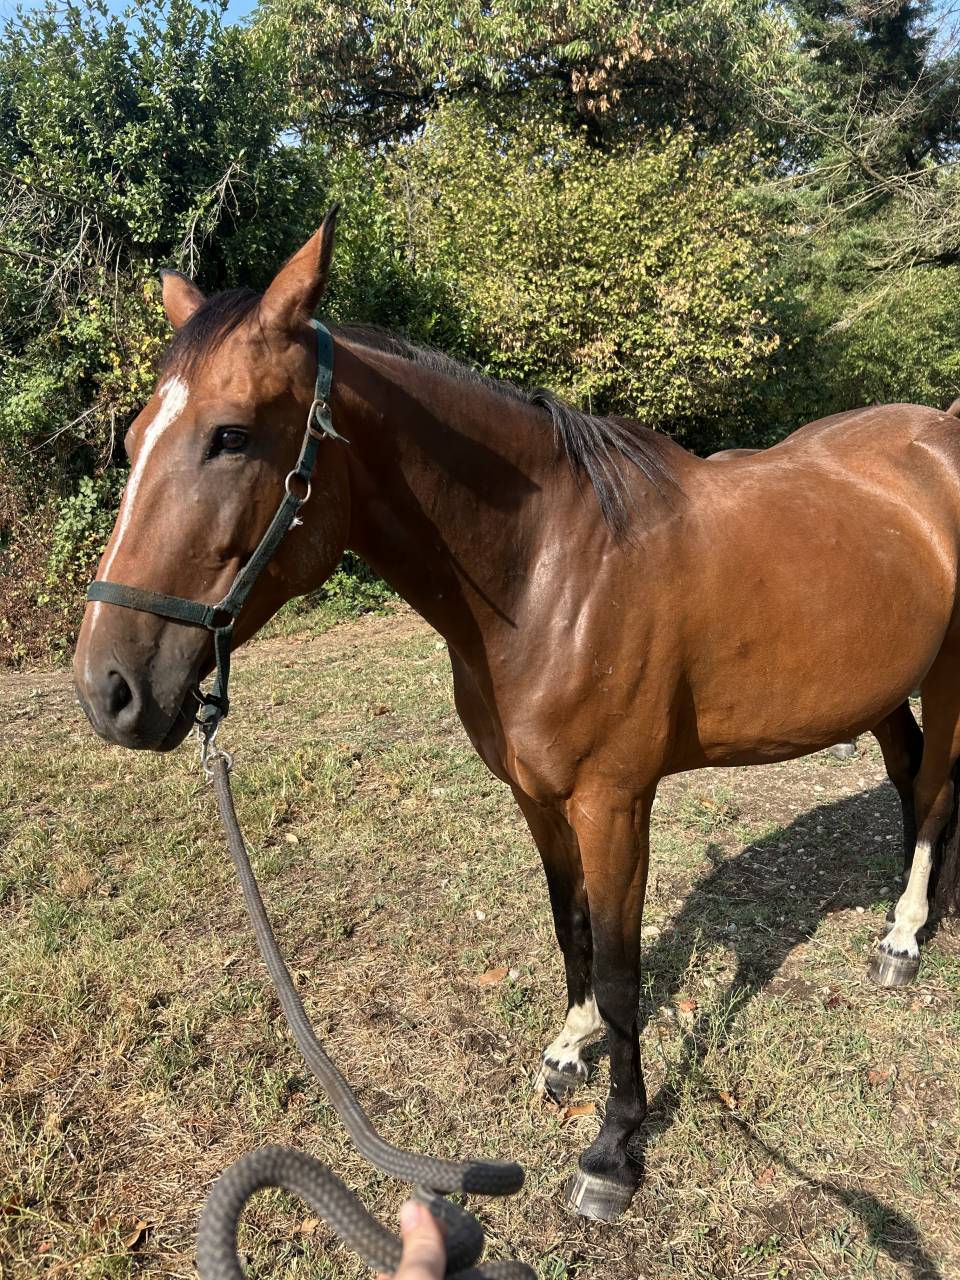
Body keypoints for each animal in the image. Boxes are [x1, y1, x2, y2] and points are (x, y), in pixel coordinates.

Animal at [74, 212, 960, 1223]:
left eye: (230, 435)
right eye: (134, 436)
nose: (107, 689)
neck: (553, 568)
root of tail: (936, 431)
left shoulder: (615, 804)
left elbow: (619, 967)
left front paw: (614, 1151)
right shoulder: (538, 798)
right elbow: (569, 926)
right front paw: (569, 1051)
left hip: (948, 671)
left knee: (936, 788)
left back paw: (902, 937)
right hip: (883, 686)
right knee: (910, 775)